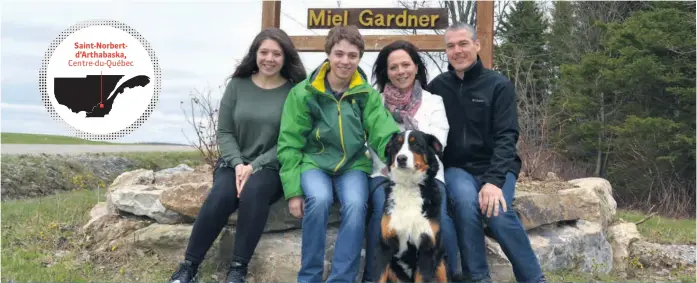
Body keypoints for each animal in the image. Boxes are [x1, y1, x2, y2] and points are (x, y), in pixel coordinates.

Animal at [372, 130, 448, 283]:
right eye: (396, 145)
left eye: (416, 144)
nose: (401, 158)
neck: (409, 187)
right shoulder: (385, 245)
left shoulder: (427, 249)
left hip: (440, 264)